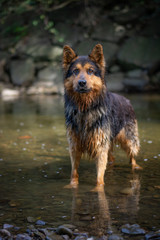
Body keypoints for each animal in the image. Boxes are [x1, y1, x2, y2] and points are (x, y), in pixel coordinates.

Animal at [62, 44, 141, 188]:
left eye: (90, 71)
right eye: (75, 71)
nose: (82, 83)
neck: (85, 108)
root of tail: (126, 99)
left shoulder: (99, 146)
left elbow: (99, 176)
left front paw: (98, 189)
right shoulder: (75, 144)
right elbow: (74, 171)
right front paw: (73, 185)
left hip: (128, 139)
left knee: (132, 155)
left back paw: (136, 166)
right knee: (112, 157)